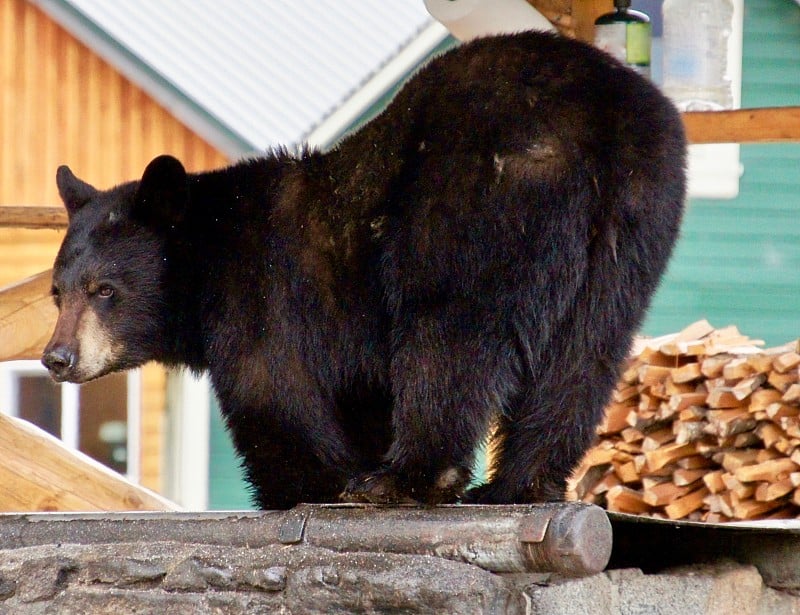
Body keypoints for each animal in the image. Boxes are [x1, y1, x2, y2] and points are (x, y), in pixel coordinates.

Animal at [40, 32, 684, 510]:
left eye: (104, 290)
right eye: (57, 293)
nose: (57, 357)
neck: (207, 256)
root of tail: (599, 114)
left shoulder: (259, 292)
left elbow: (271, 391)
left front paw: (303, 486)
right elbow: (359, 401)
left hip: (477, 200)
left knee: (449, 333)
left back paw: (407, 479)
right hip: (635, 213)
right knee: (587, 350)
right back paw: (517, 484)